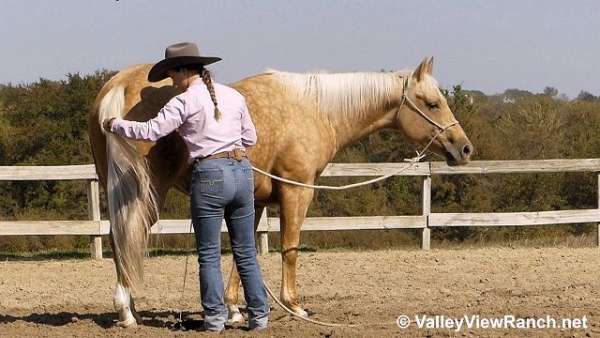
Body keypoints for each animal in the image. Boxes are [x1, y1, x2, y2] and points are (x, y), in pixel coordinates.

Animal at [89, 58, 474, 328]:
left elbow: (242, 253)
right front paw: (295, 305)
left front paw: (234, 309)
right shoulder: (296, 191)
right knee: (129, 236)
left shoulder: (252, 200)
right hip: (146, 193)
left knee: (118, 239)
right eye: (432, 103)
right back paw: (126, 311)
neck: (314, 109)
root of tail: (120, 85)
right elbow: (290, 248)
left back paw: (131, 310)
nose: (465, 148)